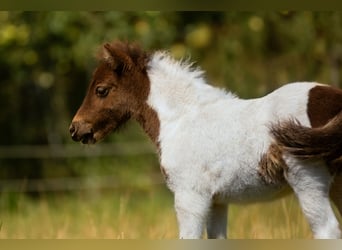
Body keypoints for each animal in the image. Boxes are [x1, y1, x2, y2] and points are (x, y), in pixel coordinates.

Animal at [69, 40, 342, 238]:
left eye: (101, 90)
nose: (75, 129)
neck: (181, 120)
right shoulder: (217, 202)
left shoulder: (190, 197)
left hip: (307, 181)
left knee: (327, 230)